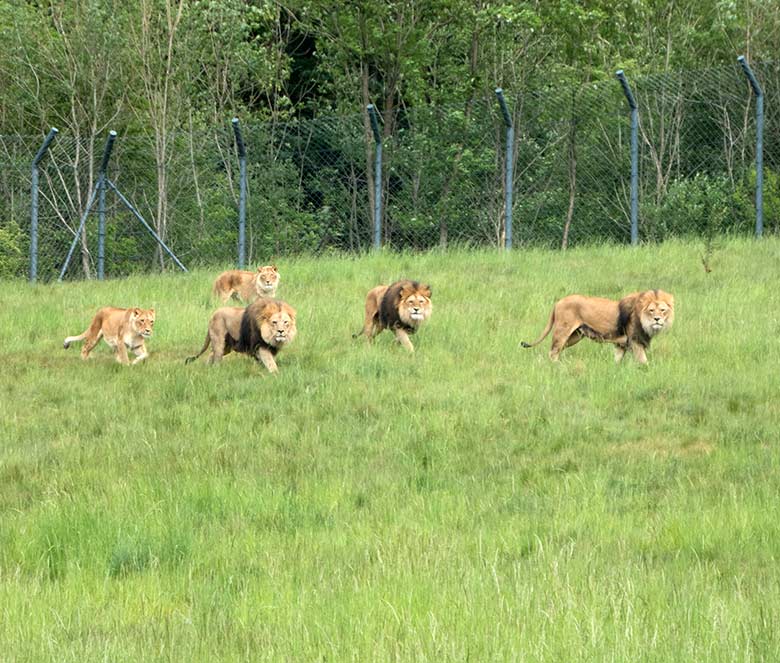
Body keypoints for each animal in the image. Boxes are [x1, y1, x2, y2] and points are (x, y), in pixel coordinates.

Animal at [520, 290, 672, 366]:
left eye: (662, 310)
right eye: (651, 310)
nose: (657, 319)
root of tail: (558, 302)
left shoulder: (621, 344)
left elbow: (617, 359)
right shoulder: (635, 341)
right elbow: (643, 361)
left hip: (575, 336)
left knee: (555, 351)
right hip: (562, 331)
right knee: (553, 352)